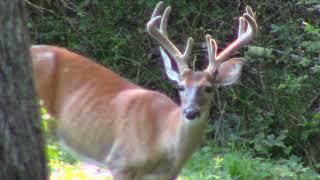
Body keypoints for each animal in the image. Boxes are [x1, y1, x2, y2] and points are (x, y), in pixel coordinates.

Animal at [31, 1, 258, 179]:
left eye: (209, 88)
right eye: (181, 86)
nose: (190, 112)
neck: (162, 140)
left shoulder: (167, 176)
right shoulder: (120, 161)